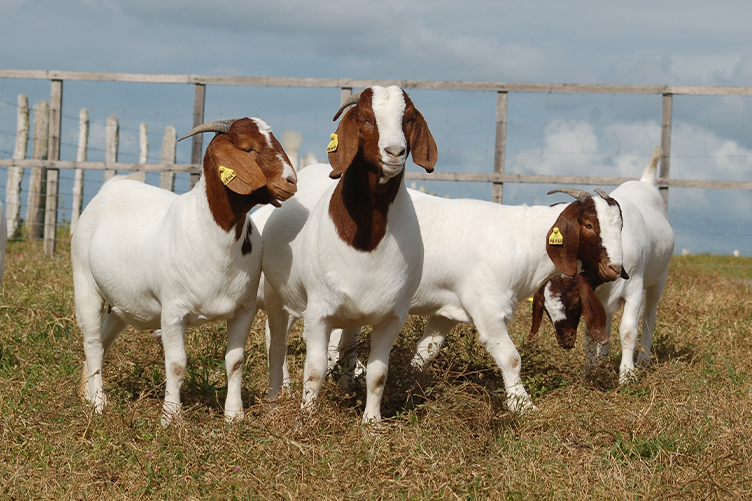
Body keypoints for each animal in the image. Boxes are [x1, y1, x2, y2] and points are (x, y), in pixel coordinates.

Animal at [72, 117, 297, 424]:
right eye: (249, 148)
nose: (291, 181)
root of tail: (109, 187)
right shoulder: (172, 312)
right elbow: (176, 364)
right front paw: (170, 417)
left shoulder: (244, 309)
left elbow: (235, 362)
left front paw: (234, 415)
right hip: (85, 284)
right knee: (93, 342)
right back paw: (97, 402)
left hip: (120, 304)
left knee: (103, 341)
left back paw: (88, 393)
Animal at [257, 86, 437, 424]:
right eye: (366, 118)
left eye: (408, 119)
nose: (395, 152)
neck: (367, 241)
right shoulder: (318, 310)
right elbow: (314, 370)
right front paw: (307, 420)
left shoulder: (392, 316)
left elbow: (378, 374)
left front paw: (372, 423)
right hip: (279, 296)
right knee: (276, 345)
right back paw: (276, 395)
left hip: (354, 311)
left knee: (347, 345)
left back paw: (343, 386)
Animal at [529, 147, 674, 383]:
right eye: (548, 312)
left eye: (573, 305)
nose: (564, 341)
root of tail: (644, 182)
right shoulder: (593, 292)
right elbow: (591, 331)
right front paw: (590, 370)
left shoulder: (634, 288)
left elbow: (628, 331)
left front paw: (627, 375)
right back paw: (604, 357)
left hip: (659, 277)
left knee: (650, 315)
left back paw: (644, 358)